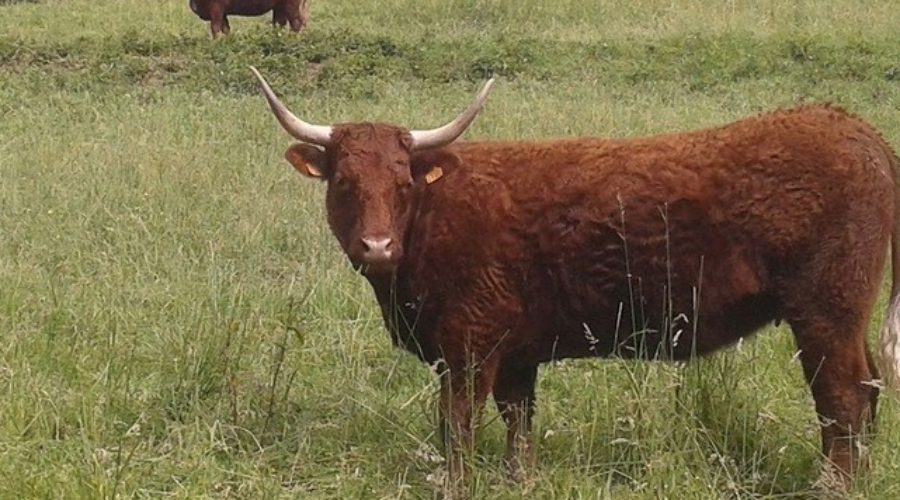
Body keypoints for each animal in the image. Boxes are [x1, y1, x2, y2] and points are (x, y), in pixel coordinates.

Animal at [250, 68, 900, 486]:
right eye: (343, 183)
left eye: (403, 183)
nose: (378, 246)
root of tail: (854, 128)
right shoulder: (514, 353)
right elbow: (518, 425)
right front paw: (520, 481)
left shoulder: (467, 346)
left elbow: (457, 427)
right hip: (844, 318)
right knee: (865, 391)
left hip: (825, 311)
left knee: (841, 399)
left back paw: (833, 485)